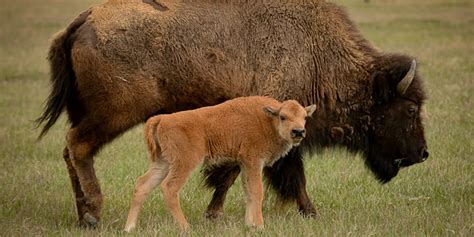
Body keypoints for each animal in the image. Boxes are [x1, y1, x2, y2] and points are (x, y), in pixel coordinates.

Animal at [125, 95, 314, 231]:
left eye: (305, 117)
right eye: (283, 117)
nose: (298, 131)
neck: (267, 119)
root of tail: (162, 119)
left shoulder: (244, 164)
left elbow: (248, 192)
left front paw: (249, 224)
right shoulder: (254, 161)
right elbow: (257, 192)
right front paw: (260, 226)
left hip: (163, 162)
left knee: (142, 185)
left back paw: (129, 228)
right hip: (184, 163)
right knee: (169, 187)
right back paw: (186, 227)